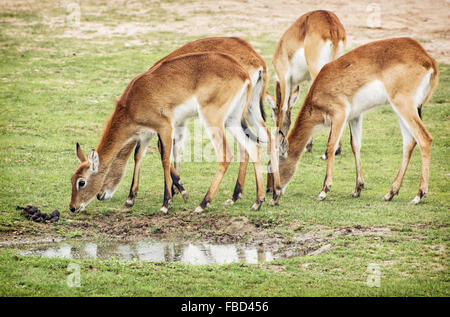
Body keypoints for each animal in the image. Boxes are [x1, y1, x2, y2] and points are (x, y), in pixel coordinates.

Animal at [69, 52, 270, 215]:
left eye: (81, 182)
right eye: (72, 178)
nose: (72, 207)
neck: (132, 102)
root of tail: (243, 73)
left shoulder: (165, 126)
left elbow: (165, 159)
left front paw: (167, 203)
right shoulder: (145, 133)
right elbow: (138, 156)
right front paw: (131, 198)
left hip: (212, 119)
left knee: (226, 154)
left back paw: (203, 204)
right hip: (232, 120)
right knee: (253, 146)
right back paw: (257, 202)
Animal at [266, 9, 346, 160]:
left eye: (272, 113)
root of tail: (332, 26)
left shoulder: (285, 79)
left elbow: (284, 111)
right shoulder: (308, 79)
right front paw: (308, 145)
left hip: (318, 70)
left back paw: (328, 152)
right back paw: (337, 149)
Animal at [280, 37, 438, 204]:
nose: (272, 189)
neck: (318, 91)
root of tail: (428, 60)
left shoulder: (339, 114)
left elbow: (331, 146)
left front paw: (323, 191)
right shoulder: (355, 116)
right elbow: (355, 145)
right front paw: (357, 189)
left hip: (404, 106)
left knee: (424, 139)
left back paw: (418, 195)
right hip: (401, 110)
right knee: (409, 143)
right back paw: (390, 193)